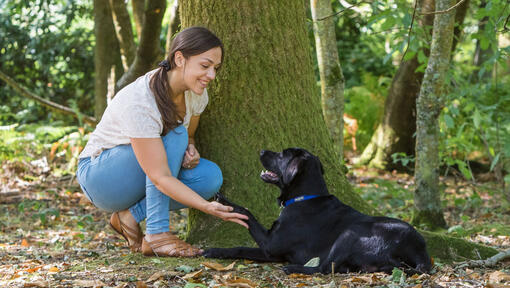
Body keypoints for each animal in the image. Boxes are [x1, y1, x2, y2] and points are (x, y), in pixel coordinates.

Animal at [203, 148, 430, 274]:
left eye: (282, 154)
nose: (260, 151)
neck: (305, 198)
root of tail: (420, 251)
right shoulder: (272, 252)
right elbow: (240, 248)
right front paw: (214, 251)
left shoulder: (270, 244)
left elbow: (247, 213)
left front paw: (225, 202)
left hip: (350, 233)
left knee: (324, 268)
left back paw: (294, 269)